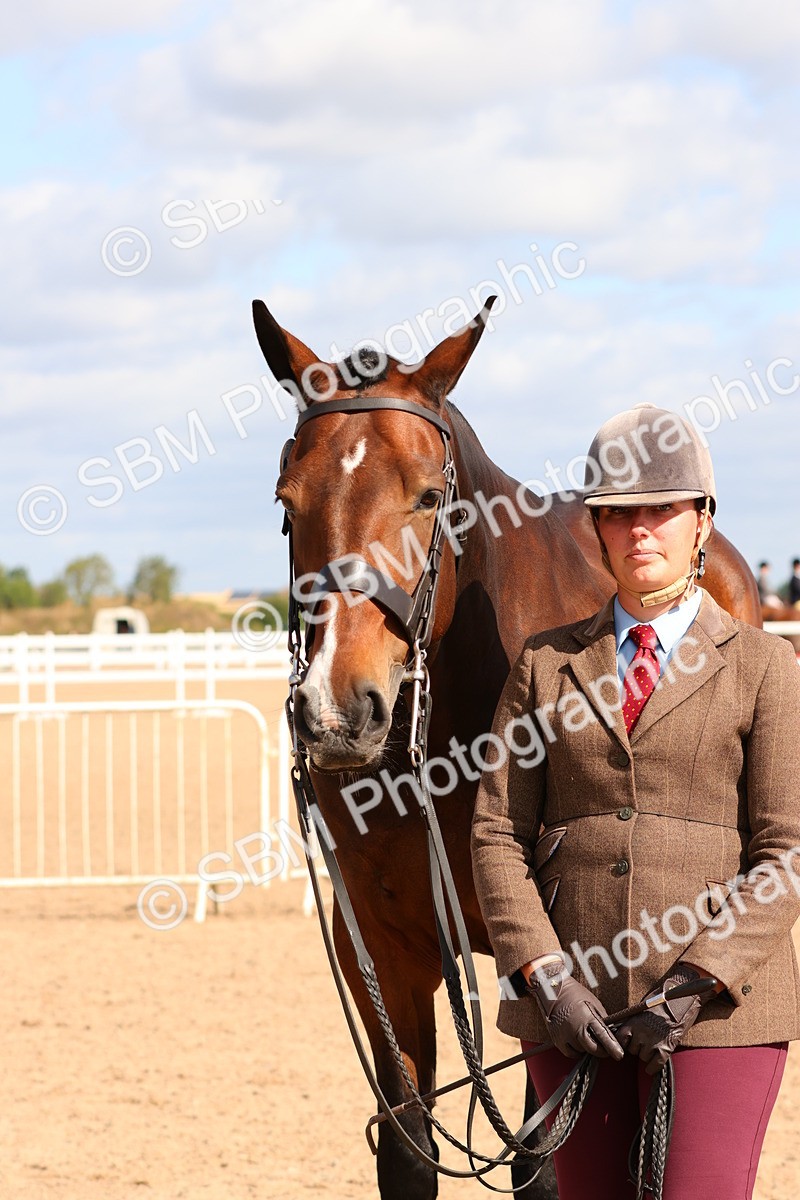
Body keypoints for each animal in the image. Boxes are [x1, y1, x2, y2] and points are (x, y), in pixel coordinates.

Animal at [252, 296, 762, 1200]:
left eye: (428, 497)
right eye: (287, 503)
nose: (338, 710)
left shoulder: (547, 958)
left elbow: (542, 1162)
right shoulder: (382, 951)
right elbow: (409, 1148)